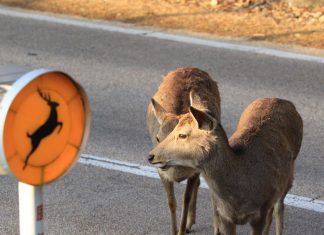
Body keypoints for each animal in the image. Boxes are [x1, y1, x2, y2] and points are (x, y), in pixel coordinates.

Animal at [146, 67, 220, 235]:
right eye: (158, 138)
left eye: (181, 136)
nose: (156, 159)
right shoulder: (162, 173)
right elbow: (171, 201)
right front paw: (173, 231)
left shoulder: (195, 169)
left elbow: (186, 199)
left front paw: (181, 229)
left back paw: (189, 223)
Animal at [149, 96, 304, 235]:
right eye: (158, 137)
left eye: (182, 135)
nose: (151, 156)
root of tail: (285, 102)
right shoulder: (224, 215)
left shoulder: (260, 212)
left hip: (288, 177)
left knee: (279, 207)